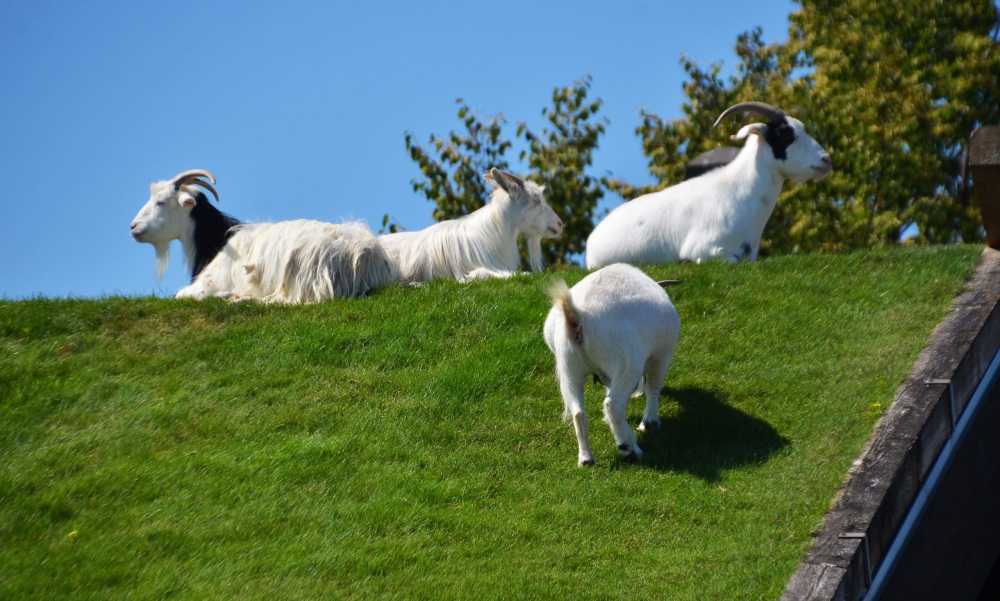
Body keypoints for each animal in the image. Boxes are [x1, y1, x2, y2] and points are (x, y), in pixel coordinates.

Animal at [130, 169, 392, 302]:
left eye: (161, 202)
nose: (133, 227)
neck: (216, 242)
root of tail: (366, 256)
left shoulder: (207, 283)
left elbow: (180, 295)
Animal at [543, 263, 681, 466]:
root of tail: (576, 317)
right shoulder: (660, 355)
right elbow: (654, 386)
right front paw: (650, 422)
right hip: (626, 363)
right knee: (613, 405)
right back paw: (629, 448)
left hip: (569, 367)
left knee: (578, 412)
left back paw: (586, 458)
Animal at [586, 102, 832, 268]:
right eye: (785, 133)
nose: (826, 160)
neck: (740, 193)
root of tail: (591, 242)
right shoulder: (702, 248)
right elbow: (730, 260)